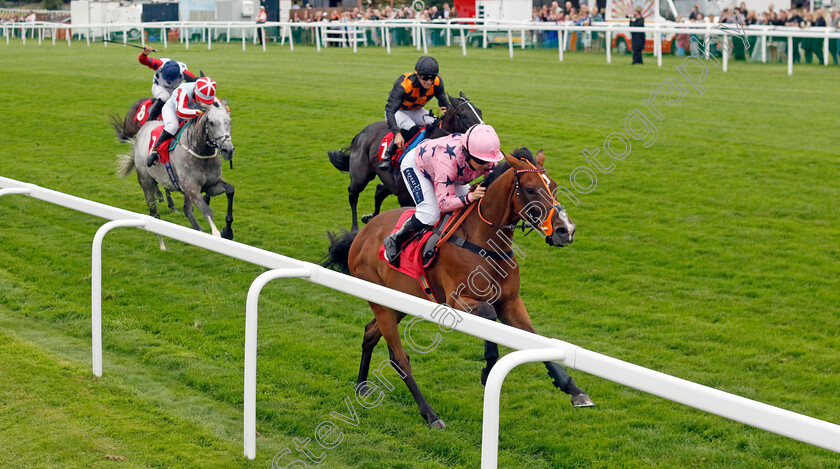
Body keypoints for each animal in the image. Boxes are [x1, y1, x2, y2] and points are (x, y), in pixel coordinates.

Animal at [116, 102, 235, 249]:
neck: (200, 152)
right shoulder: (192, 188)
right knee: (154, 214)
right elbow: (207, 211)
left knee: (187, 210)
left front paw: (227, 231)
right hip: (146, 182)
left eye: (229, 121)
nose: (228, 150)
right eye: (212, 123)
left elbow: (230, 190)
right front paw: (216, 235)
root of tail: (141, 131)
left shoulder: (210, 185)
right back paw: (162, 245)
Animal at [324, 147, 592, 428]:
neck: (485, 242)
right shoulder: (457, 302)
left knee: (370, 334)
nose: (565, 231)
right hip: (380, 300)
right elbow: (489, 315)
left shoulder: (511, 303)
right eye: (530, 189)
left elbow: (534, 339)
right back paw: (430, 414)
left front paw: (573, 390)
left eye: (554, 186)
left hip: (399, 301)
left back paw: (362, 386)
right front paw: (488, 370)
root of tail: (362, 234)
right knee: (399, 358)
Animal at [330, 92, 486, 230]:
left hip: (391, 182)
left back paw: (370, 217)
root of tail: (361, 133)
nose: (484, 134)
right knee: (353, 194)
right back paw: (355, 227)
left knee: (379, 190)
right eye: (463, 115)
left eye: (479, 111)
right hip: (362, 176)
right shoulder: (405, 197)